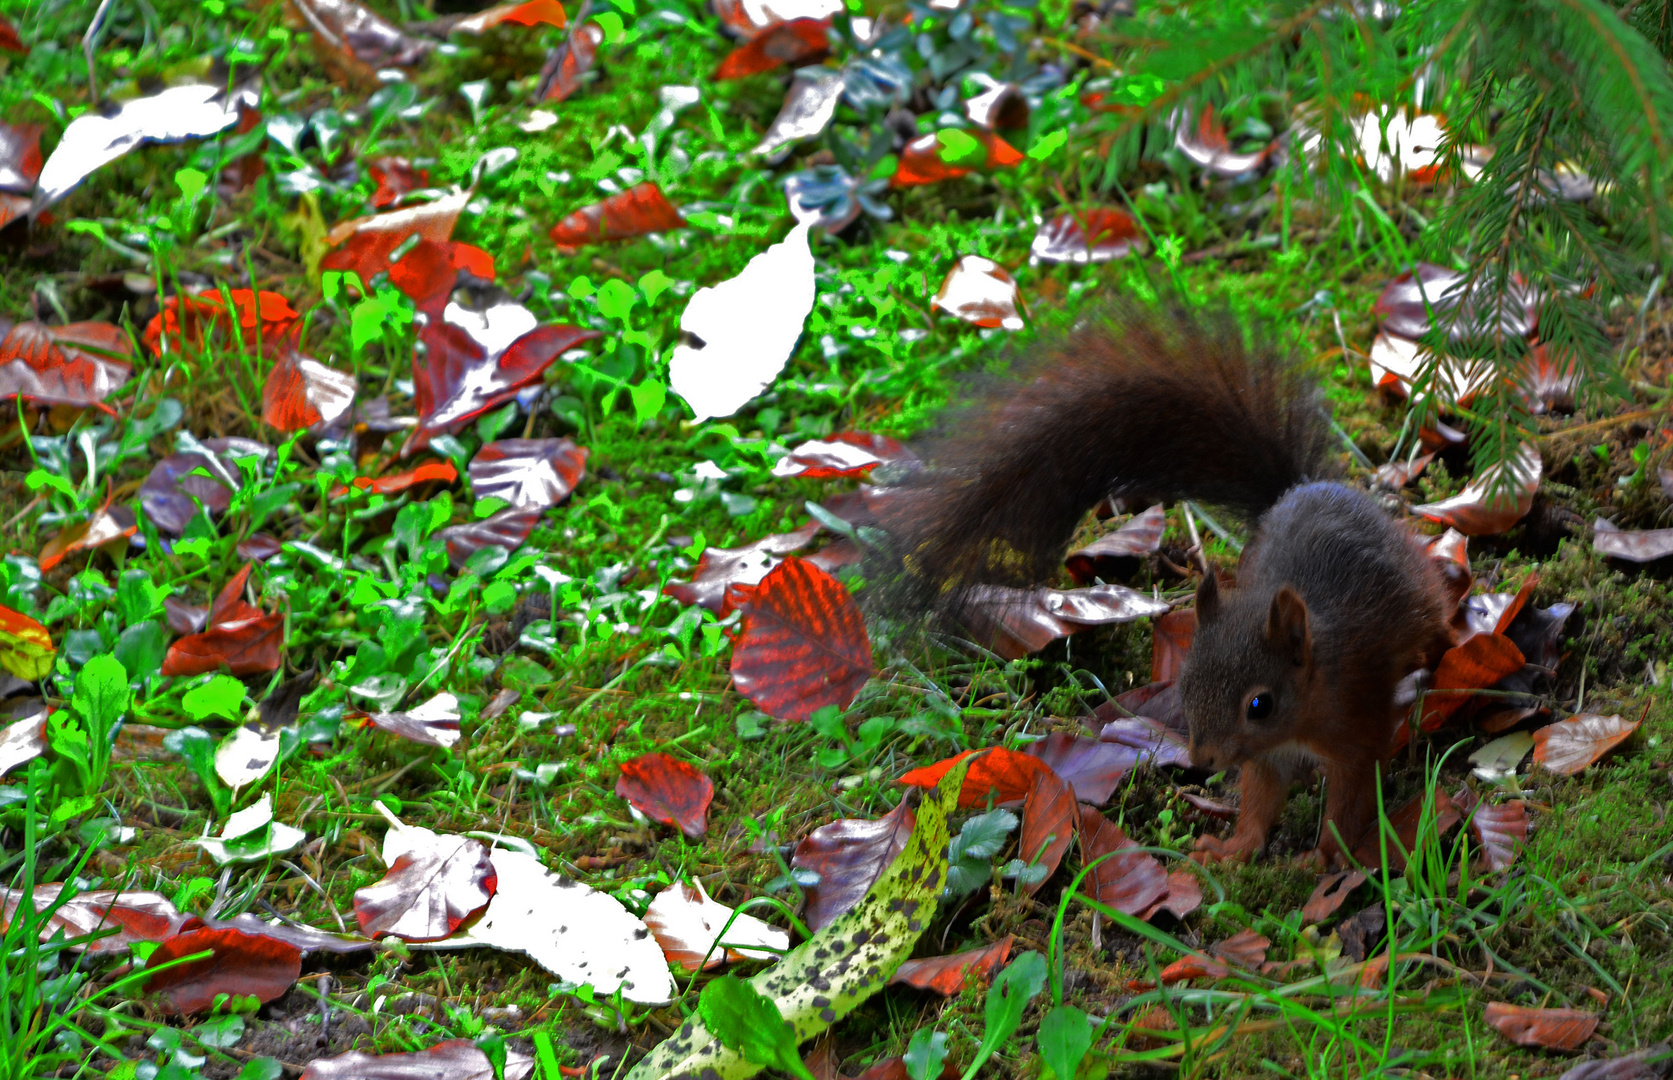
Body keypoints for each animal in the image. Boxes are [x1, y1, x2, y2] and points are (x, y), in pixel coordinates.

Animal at [883, 304, 1458, 869]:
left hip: (1414, 590)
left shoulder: (1355, 725)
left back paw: (1448, 649)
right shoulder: (1266, 759)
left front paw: (1324, 856)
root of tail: (1303, 488)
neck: (1314, 687)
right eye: (1186, 686)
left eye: (1260, 705)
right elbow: (1260, 799)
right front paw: (1233, 848)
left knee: (1434, 616)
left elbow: (1352, 797)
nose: (1202, 762)